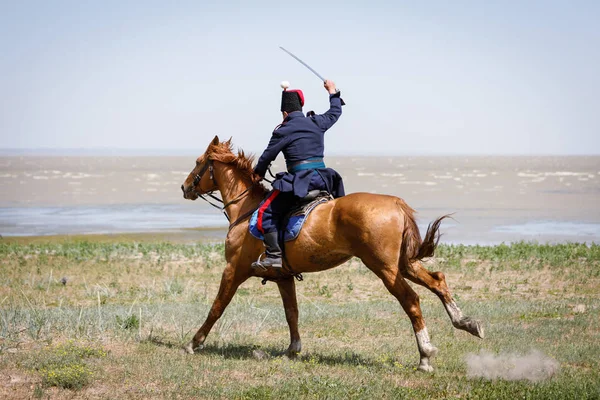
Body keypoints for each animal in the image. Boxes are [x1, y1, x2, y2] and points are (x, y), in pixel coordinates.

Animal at [182, 137, 482, 372]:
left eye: (198, 162)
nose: (185, 188)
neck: (247, 208)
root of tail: (395, 203)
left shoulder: (234, 269)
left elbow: (217, 307)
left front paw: (194, 342)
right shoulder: (283, 277)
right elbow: (292, 312)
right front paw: (293, 350)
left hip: (384, 267)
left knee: (411, 300)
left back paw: (425, 355)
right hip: (403, 264)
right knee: (437, 280)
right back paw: (465, 322)